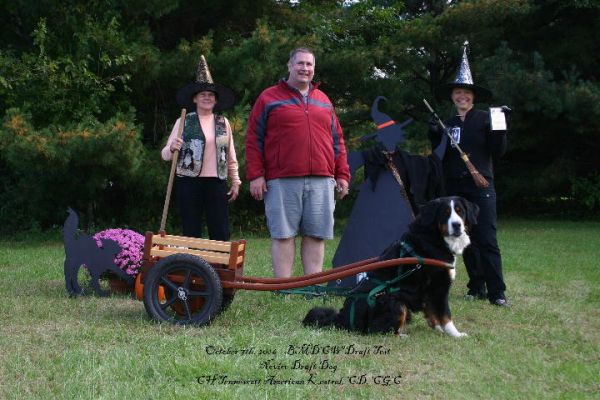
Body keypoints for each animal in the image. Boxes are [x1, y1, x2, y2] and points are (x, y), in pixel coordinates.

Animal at [302, 197, 480, 338]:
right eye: (445, 213)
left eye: (460, 212)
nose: (457, 225)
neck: (434, 237)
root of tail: (343, 318)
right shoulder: (439, 286)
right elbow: (445, 315)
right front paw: (456, 334)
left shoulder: (429, 291)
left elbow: (432, 312)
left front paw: (438, 329)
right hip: (395, 302)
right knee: (376, 330)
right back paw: (401, 336)